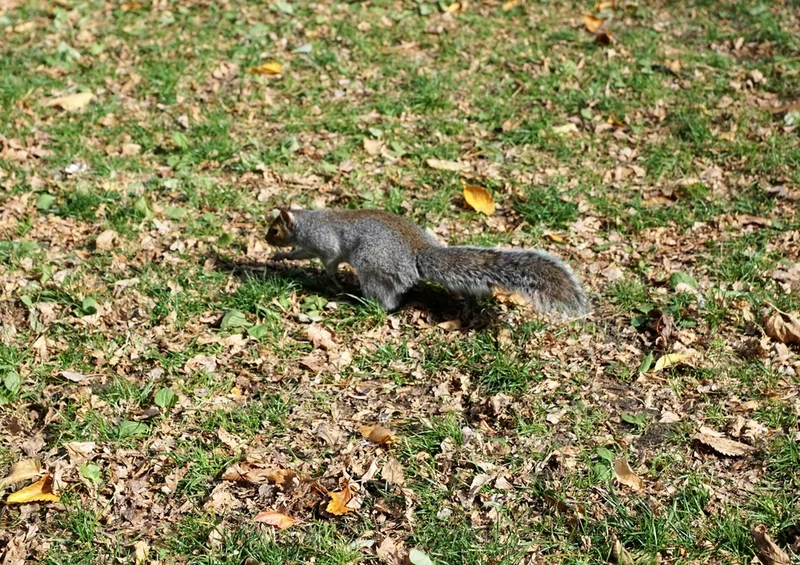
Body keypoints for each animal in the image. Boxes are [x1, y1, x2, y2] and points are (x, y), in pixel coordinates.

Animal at [266, 208, 590, 317]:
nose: (266, 239)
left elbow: (329, 262)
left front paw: (331, 282)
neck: (308, 221)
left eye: (275, 230)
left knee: (388, 301)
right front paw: (282, 257)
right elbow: (301, 254)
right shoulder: (309, 246)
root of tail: (418, 253)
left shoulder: (325, 244)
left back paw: (359, 303)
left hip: (373, 268)